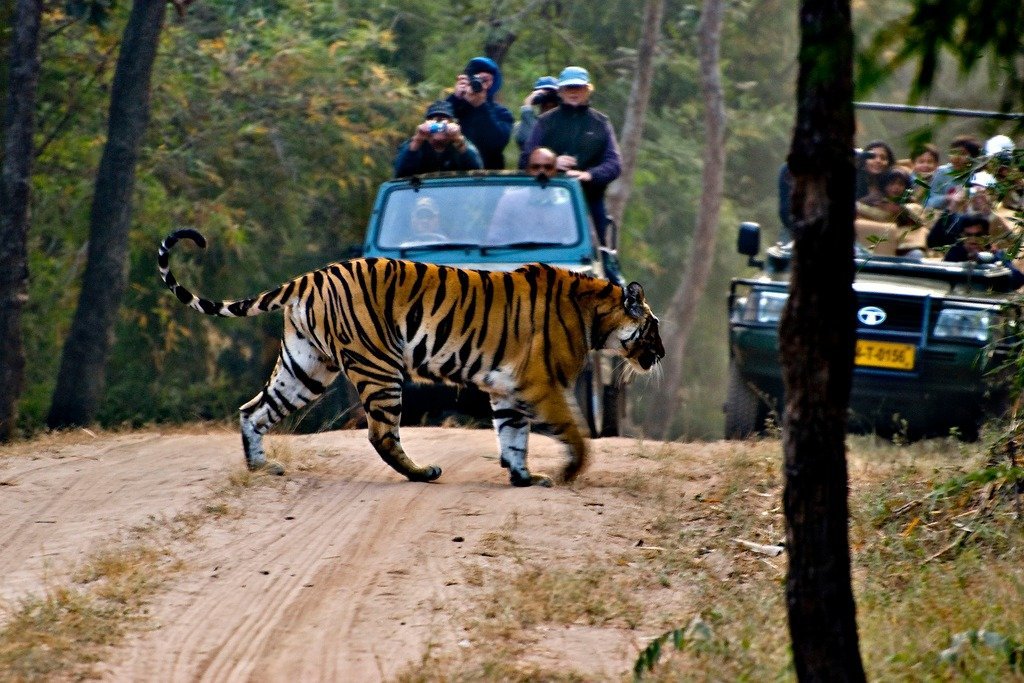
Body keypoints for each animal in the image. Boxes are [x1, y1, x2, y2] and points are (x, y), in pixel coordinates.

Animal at [154, 229, 659, 485]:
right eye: (653, 329)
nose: (662, 354)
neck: (595, 315)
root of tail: (310, 277)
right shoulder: (541, 382)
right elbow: (573, 432)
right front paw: (571, 471)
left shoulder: (508, 386)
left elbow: (513, 435)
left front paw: (523, 477)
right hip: (379, 367)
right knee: (381, 434)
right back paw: (422, 473)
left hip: (305, 368)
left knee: (253, 410)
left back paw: (262, 468)